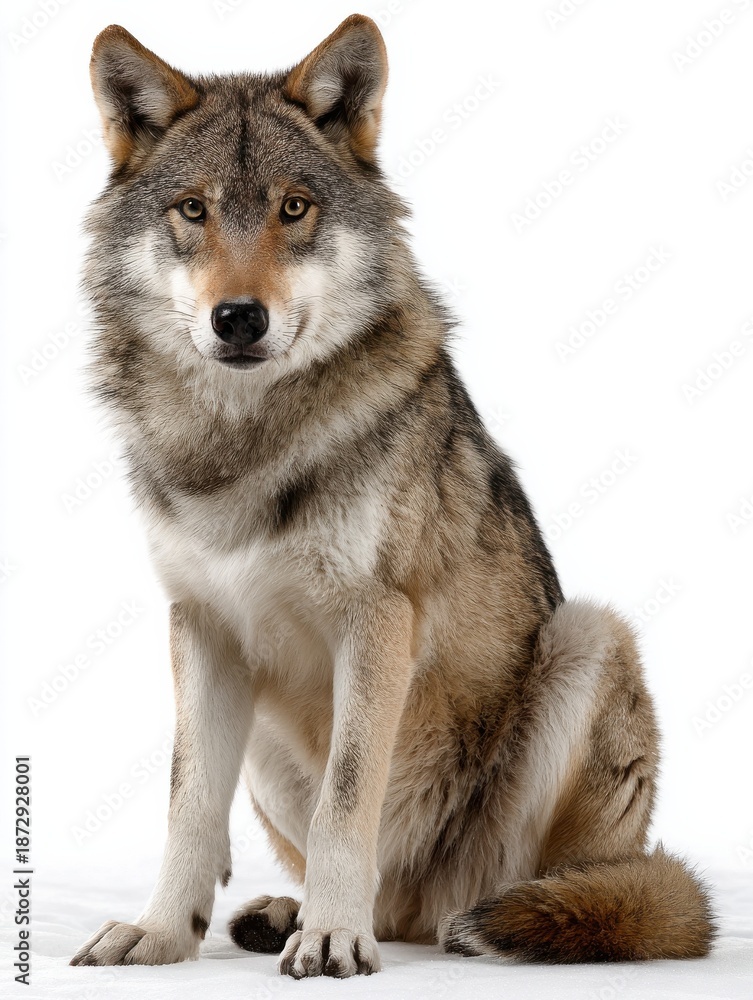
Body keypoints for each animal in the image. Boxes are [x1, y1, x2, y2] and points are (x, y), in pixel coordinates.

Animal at [70, 15, 715, 978]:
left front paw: (333, 939)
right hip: (263, 740)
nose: (238, 318)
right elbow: (187, 804)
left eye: (294, 209)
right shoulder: (201, 627)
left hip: (589, 640)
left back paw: (452, 922)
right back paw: (281, 915)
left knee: (546, 897)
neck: (242, 444)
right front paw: (159, 934)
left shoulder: (376, 619)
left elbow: (346, 803)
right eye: (193, 210)